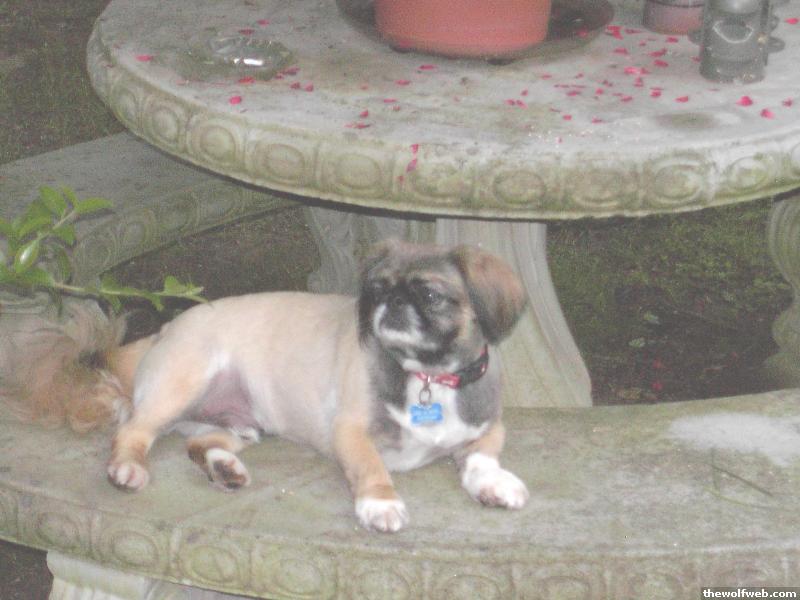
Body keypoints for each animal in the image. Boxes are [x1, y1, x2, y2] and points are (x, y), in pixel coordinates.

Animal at [3, 240, 528, 532]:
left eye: (431, 295)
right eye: (377, 289)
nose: (391, 302)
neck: (427, 374)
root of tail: (162, 331)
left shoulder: (487, 424)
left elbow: (482, 456)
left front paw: (494, 482)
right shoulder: (350, 432)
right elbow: (372, 468)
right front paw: (381, 505)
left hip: (243, 424)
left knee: (200, 443)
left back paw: (224, 468)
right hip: (181, 386)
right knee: (131, 432)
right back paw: (128, 469)